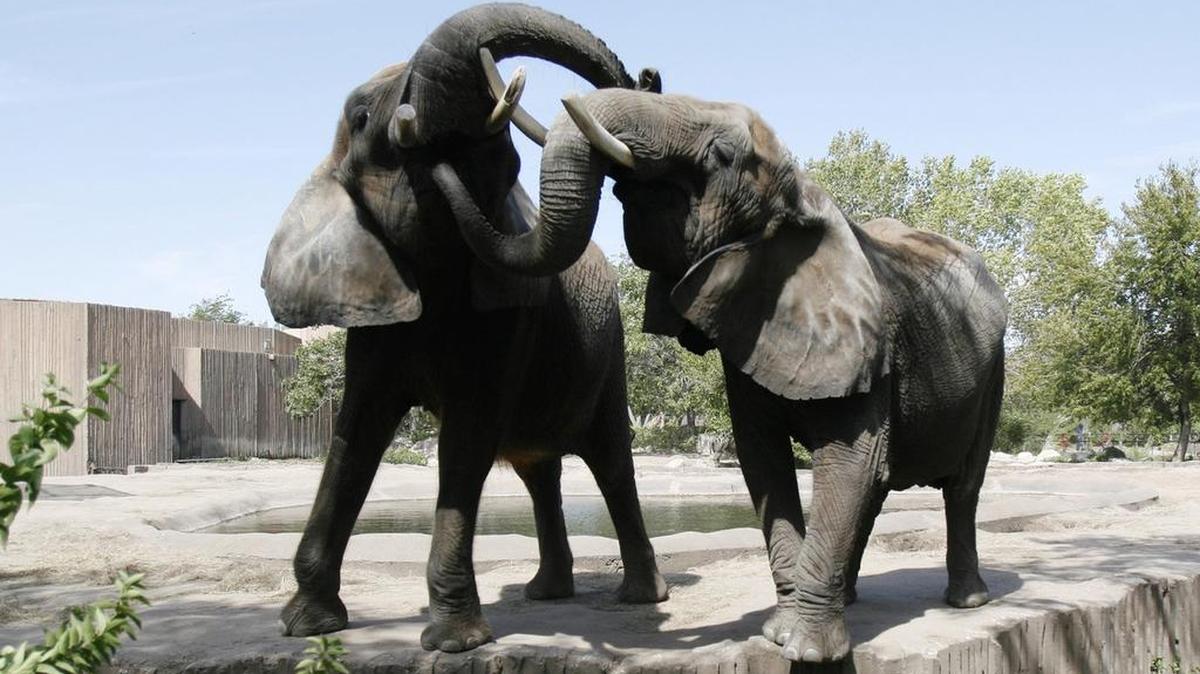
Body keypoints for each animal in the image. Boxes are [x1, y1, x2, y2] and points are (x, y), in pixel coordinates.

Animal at [260, 5, 667, 653]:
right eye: (360, 116)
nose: (650, 78)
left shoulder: (508, 316)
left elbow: (467, 435)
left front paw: (456, 641)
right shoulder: (374, 315)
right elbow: (355, 432)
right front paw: (306, 625)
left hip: (611, 353)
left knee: (609, 460)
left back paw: (639, 597)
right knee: (539, 469)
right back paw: (546, 593)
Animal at [433, 89, 1008, 662]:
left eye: (723, 156)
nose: (439, 164)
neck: (802, 201)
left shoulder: (868, 345)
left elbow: (850, 459)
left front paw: (806, 650)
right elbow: (765, 461)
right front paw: (778, 632)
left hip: (994, 372)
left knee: (962, 485)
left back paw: (966, 600)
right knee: (880, 488)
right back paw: (851, 597)